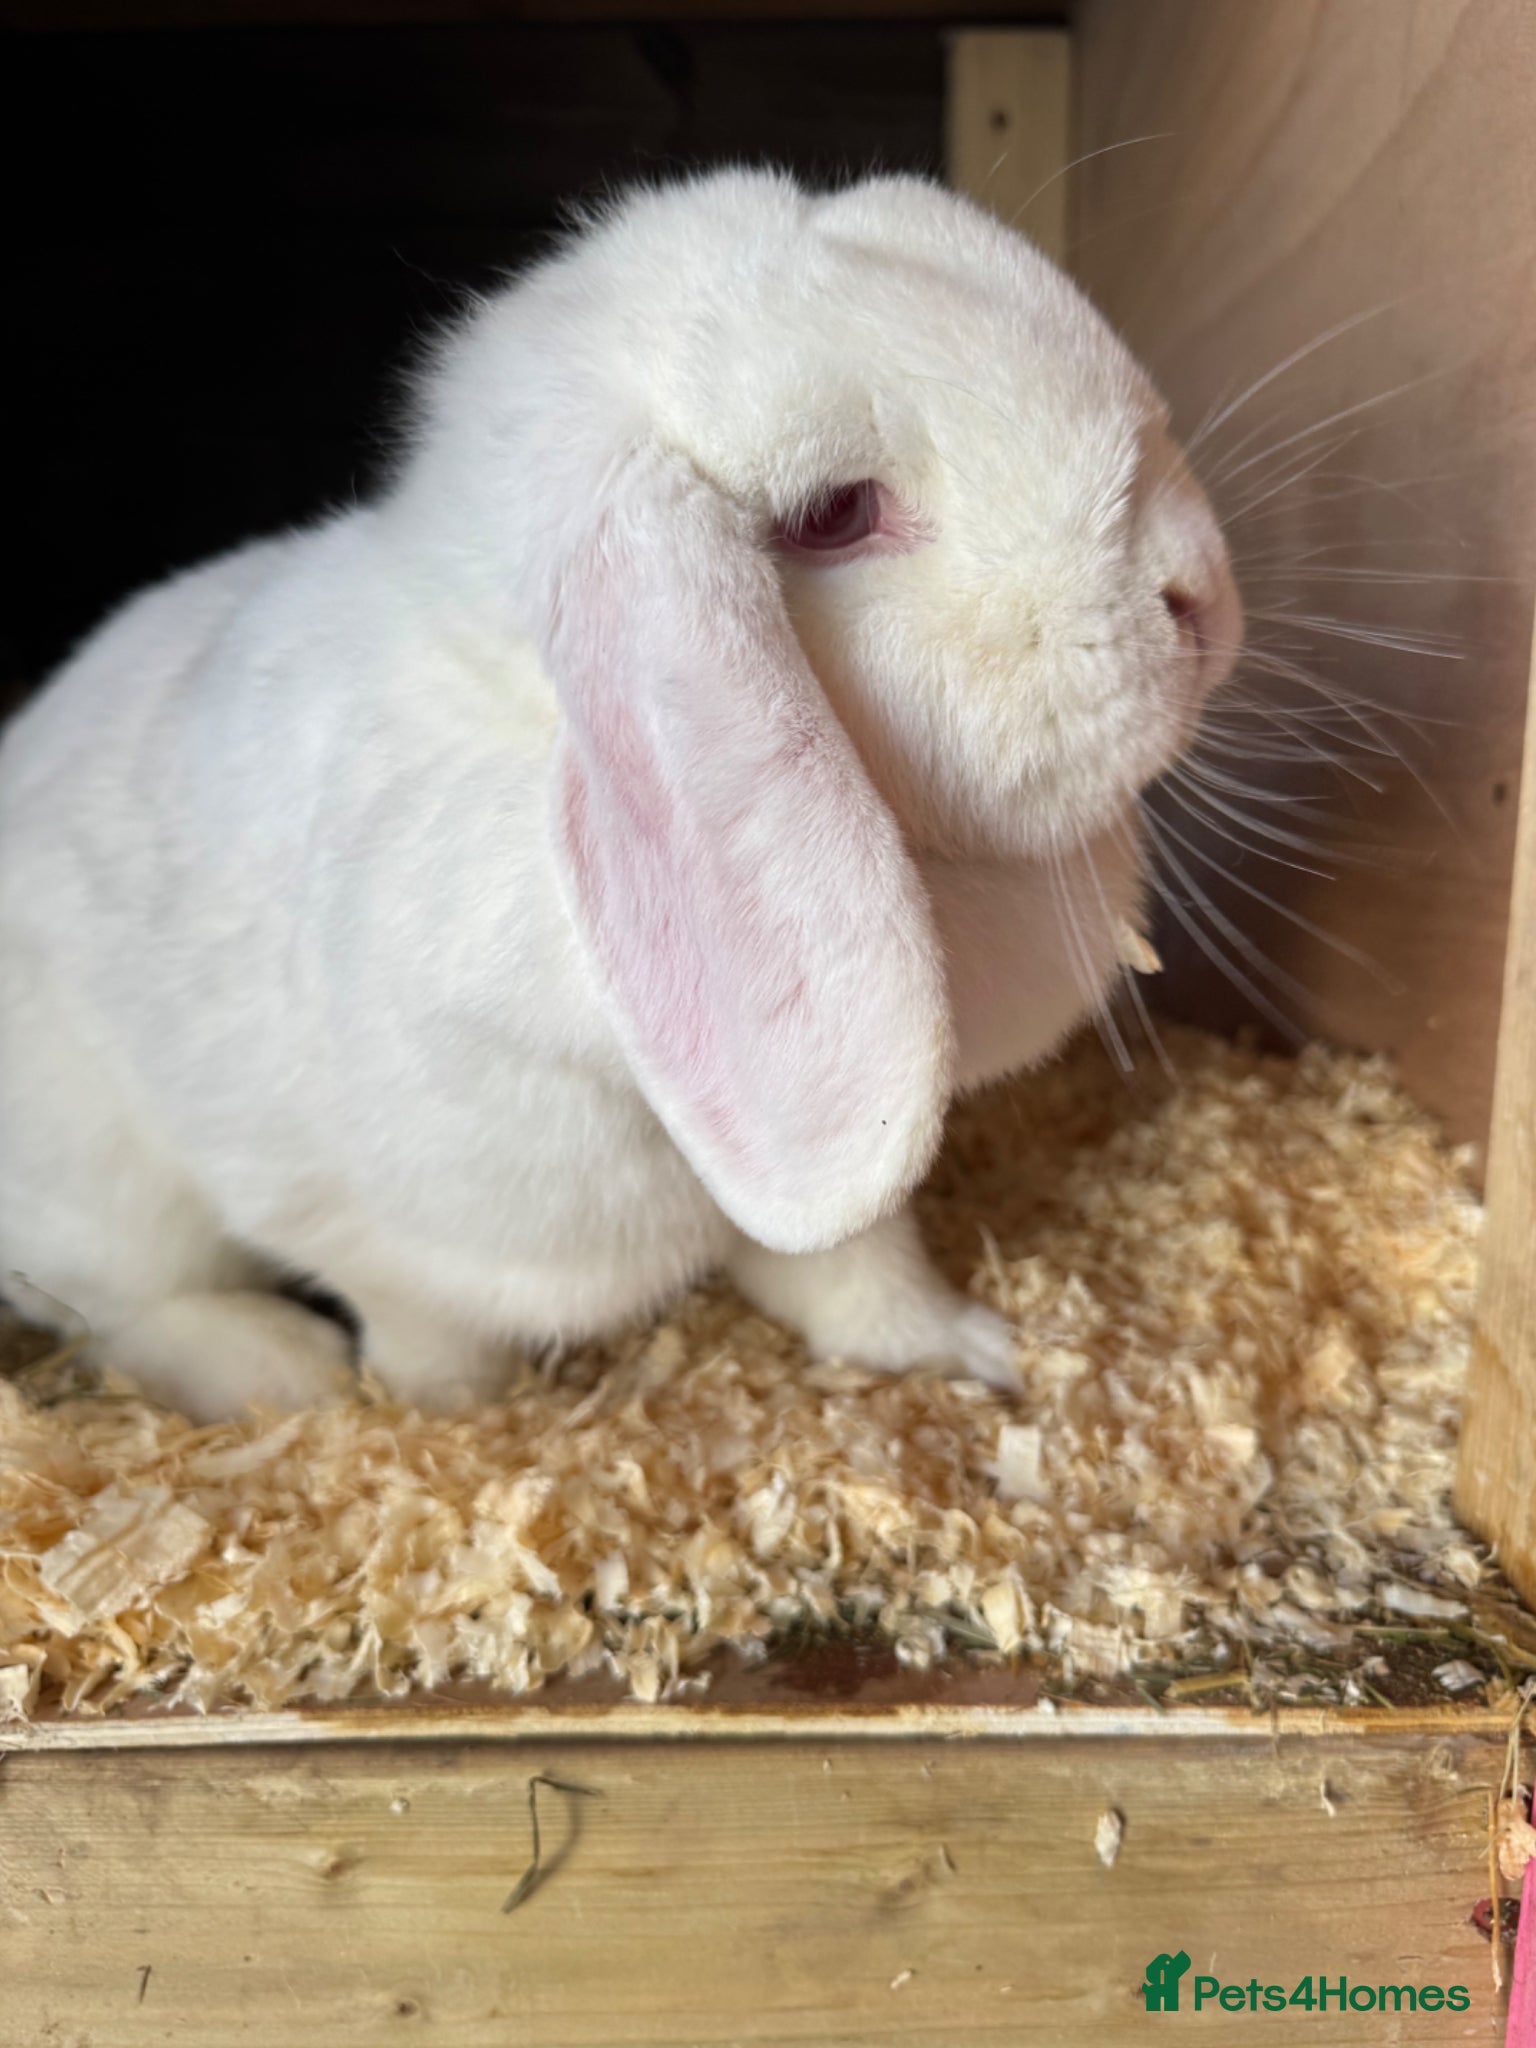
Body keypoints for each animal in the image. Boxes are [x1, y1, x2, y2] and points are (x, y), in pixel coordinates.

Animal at [0, 168, 1240, 1422]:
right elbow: (428, 1342)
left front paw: (974, 1353)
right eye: (836, 514)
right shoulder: (379, 1231)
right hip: (107, 1194)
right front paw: (450, 1420)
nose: (1202, 595)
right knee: (121, 1307)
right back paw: (283, 1365)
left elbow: (860, 1269)